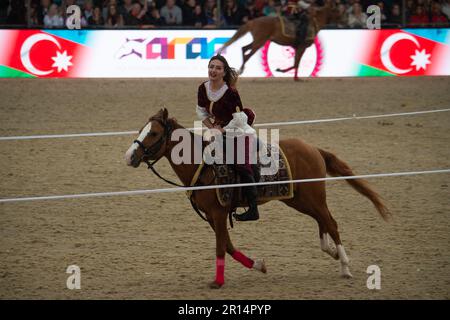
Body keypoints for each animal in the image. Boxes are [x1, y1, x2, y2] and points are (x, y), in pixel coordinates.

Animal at [125, 109, 388, 288]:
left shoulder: (218, 214)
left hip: (313, 196)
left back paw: (344, 265)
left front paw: (218, 282)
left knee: (331, 223)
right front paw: (259, 265)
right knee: (322, 221)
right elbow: (228, 246)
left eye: (154, 133)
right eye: (140, 131)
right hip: (299, 199)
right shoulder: (212, 216)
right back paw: (332, 252)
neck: (203, 165)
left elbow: (221, 247)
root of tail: (314, 149)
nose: (129, 156)